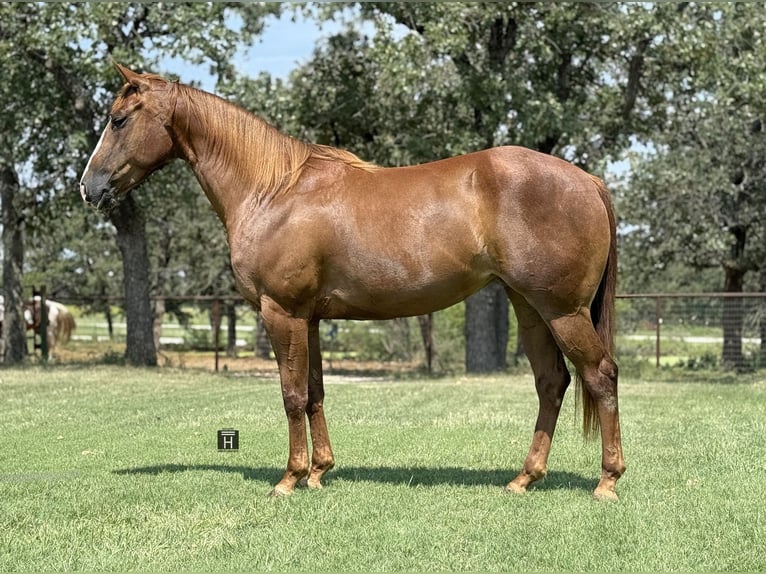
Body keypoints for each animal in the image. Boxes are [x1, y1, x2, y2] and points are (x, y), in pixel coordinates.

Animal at [79, 63, 625, 500]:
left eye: (118, 119)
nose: (88, 187)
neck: (272, 190)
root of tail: (587, 180)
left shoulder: (282, 312)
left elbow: (291, 395)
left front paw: (289, 479)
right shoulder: (309, 319)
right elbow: (316, 391)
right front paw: (320, 472)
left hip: (562, 310)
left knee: (600, 375)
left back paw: (607, 481)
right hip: (529, 307)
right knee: (552, 381)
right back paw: (524, 479)